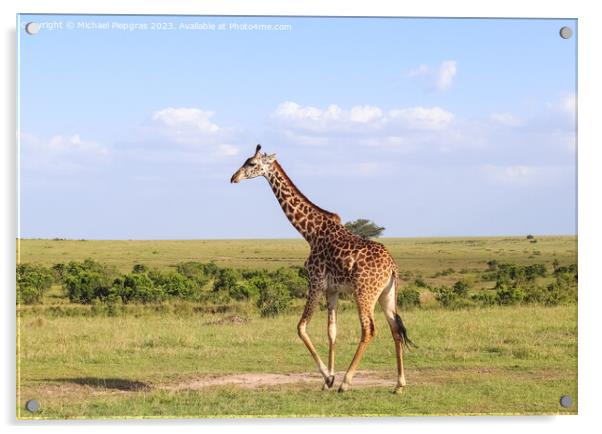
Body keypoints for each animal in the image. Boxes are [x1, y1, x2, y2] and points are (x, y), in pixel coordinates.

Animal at [230, 146, 412, 394]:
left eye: (251, 163)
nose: (233, 178)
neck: (310, 232)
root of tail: (392, 266)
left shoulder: (315, 282)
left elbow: (301, 327)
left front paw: (329, 377)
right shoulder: (332, 289)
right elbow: (331, 332)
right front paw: (329, 379)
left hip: (364, 292)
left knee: (369, 329)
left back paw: (347, 382)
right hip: (387, 293)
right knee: (395, 329)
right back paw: (399, 384)